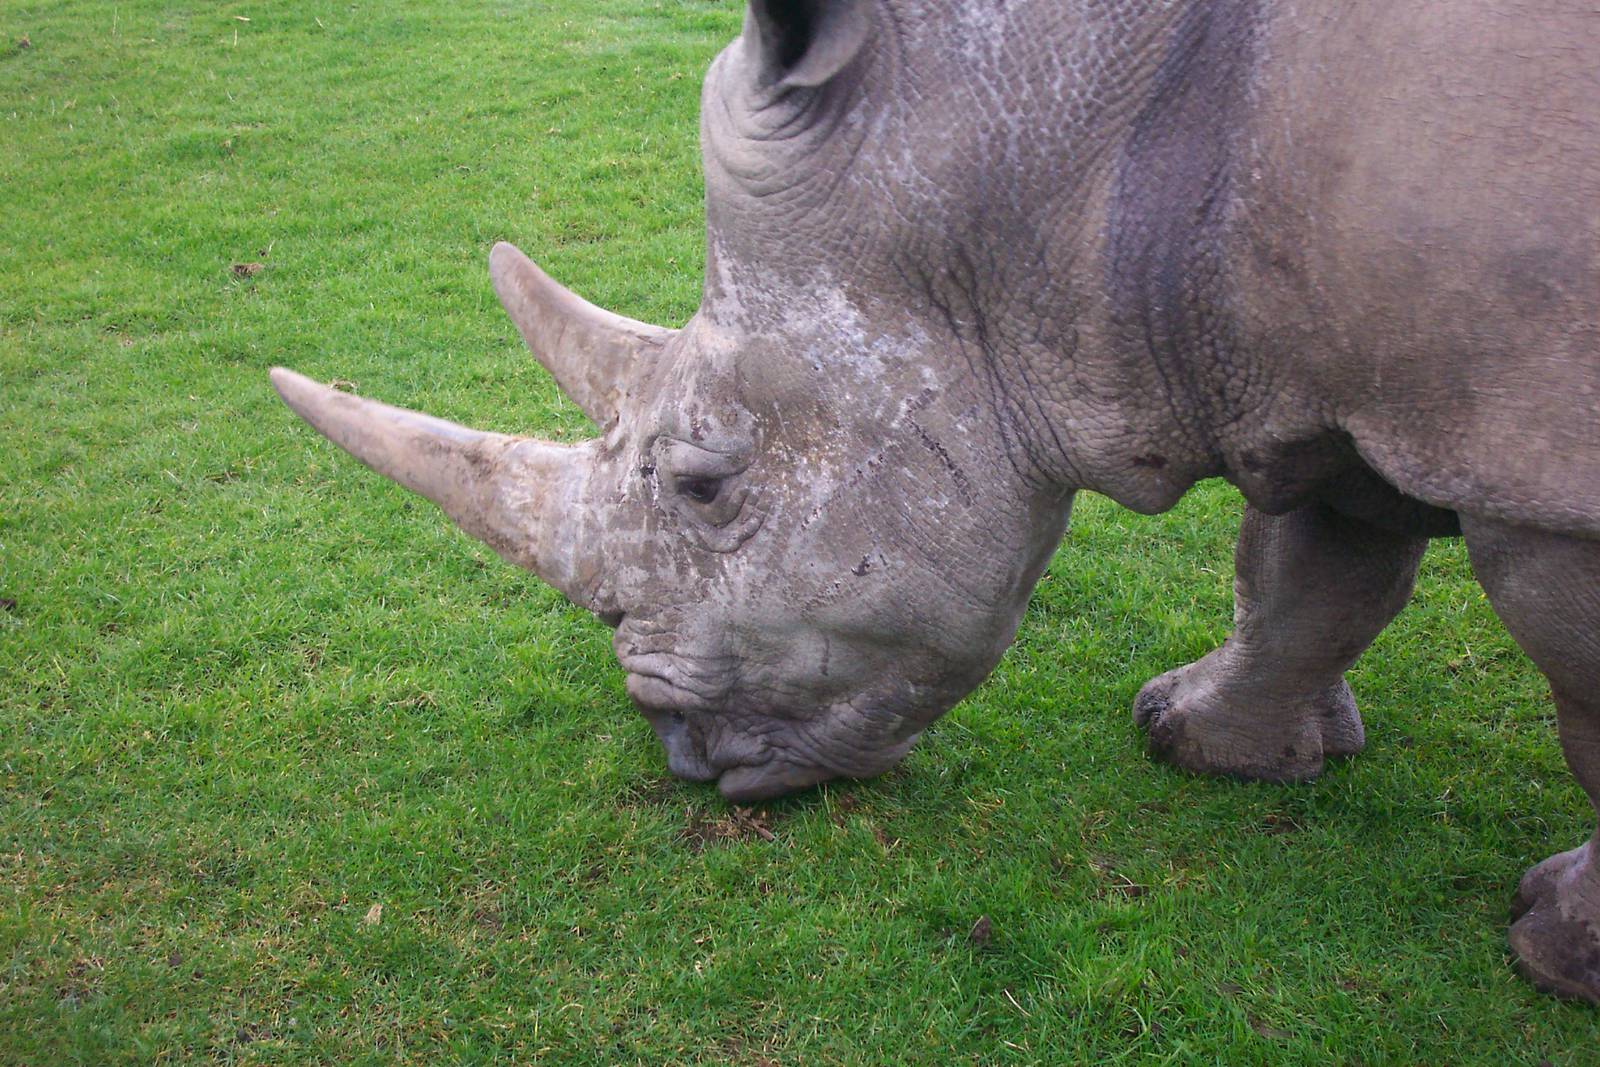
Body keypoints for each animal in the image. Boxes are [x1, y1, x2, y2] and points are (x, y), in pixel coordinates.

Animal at [272, 0, 1600, 1000]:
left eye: (706, 484)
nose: (679, 752)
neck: (1052, 166)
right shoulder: (1339, 361)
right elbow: (1311, 568)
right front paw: (1196, 744)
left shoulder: (1527, 448)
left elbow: (1574, 692)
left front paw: (1549, 952)